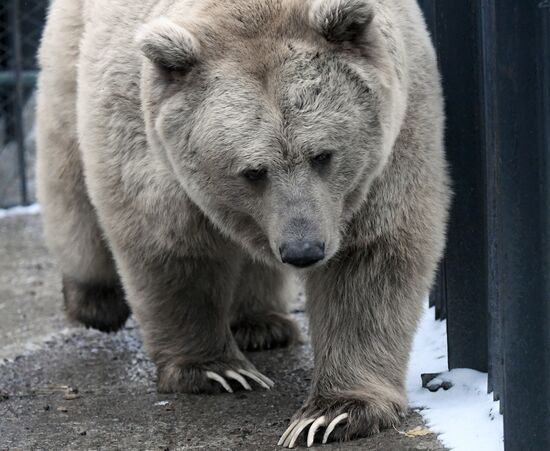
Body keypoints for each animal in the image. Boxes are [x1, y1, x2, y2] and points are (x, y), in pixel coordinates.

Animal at [36, 0, 450, 446]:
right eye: (253, 171)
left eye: (322, 154)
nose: (303, 249)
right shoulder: (146, 133)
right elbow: (170, 243)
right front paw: (217, 370)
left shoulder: (393, 139)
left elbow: (368, 261)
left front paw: (333, 414)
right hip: (69, 55)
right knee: (68, 181)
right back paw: (95, 301)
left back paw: (262, 323)